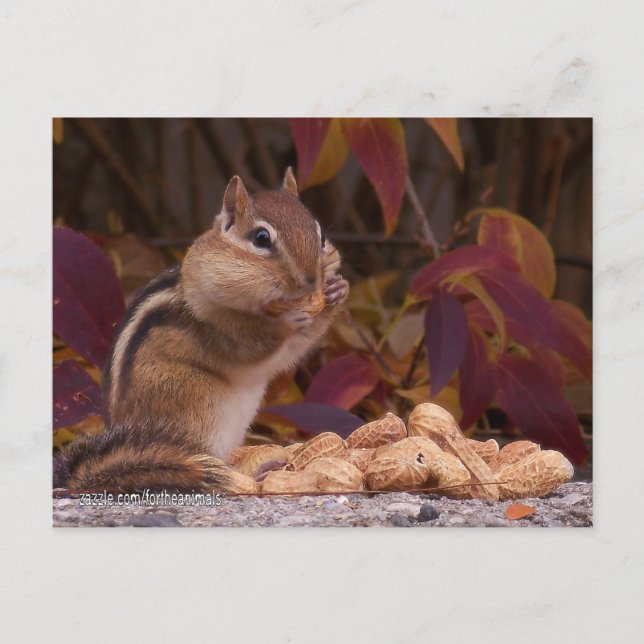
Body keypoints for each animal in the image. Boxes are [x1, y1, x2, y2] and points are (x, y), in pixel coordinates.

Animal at [54, 168, 349, 493]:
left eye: (321, 236)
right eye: (261, 239)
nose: (311, 281)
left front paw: (337, 291)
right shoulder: (216, 326)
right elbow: (251, 346)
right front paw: (285, 322)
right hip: (196, 404)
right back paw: (254, 475)